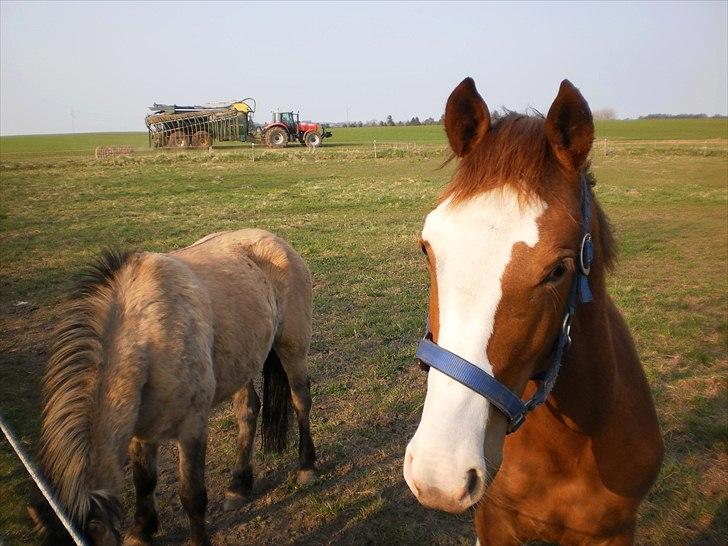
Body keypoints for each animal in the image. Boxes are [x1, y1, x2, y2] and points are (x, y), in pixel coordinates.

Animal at [27, 228, 318, 544]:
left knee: (301, 401)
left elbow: (192, 494)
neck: (149, 337)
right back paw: (238, 486)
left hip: (292, 348)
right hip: (241, 363)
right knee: (248, 412)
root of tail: (274, 239)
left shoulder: (192, 427)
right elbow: (144, 481)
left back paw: (307, 467)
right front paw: (141, 531)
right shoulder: (141, 431)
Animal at [404, 78, 664, 540]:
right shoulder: (494, 522)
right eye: (426, 248)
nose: (439, 474)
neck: (571, 444)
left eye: (558, 270)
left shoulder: (615, 531)